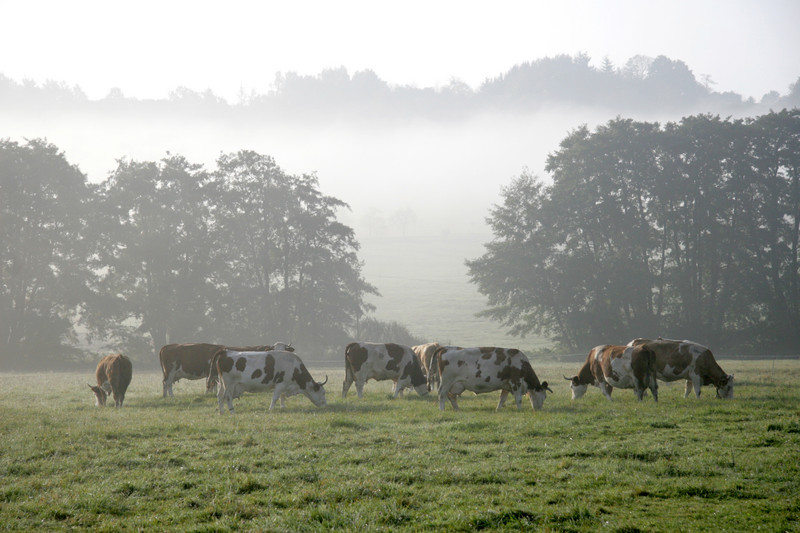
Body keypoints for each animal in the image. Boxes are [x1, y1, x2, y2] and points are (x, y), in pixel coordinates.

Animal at [158, 340, 286, 394]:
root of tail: (166, 346)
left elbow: (213, 385)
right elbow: (212, 385)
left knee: (166, 383)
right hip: (170, 371)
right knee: (167, 383)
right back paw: (170, 396)